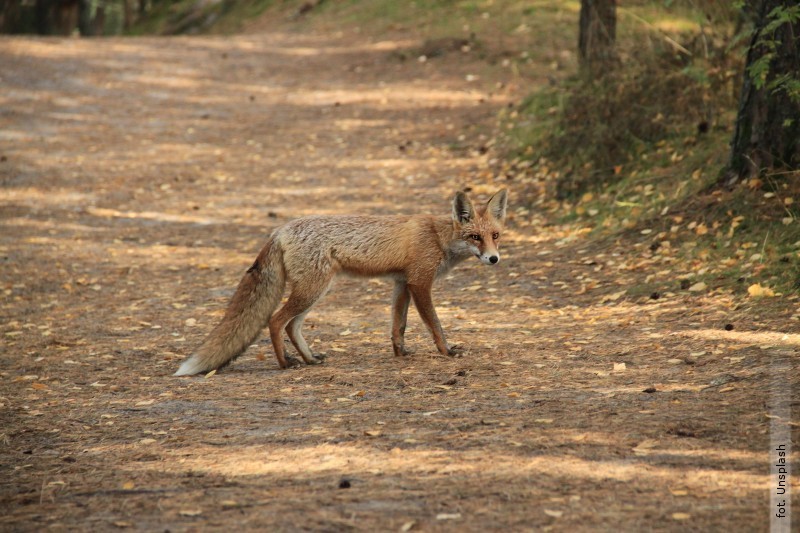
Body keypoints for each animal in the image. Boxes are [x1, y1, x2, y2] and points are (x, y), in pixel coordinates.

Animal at [176, 188, 510, 374]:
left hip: (318, 290)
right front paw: (447, 351)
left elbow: (398, 326)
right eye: (474, 237)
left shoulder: (401, 283)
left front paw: (400, 353)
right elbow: (434, 325)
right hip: (312, 289)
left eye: (495, 235)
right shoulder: (419, 283)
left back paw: (310, 359)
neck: (438, 237)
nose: (494, 259)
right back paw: (286, 364)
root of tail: (280, 229)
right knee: (275, 320)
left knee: (292, 325)